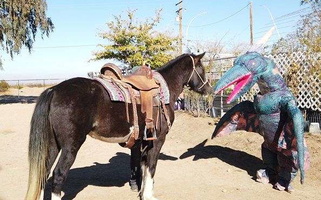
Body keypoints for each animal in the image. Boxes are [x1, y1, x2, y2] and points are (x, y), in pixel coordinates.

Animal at [24, 52, 210, 199]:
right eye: (202, 69)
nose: (208, 89)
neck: (164, 90)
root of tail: (54, 90)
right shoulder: (158, 140)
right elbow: (151, 167)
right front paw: (149, 195)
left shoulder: (145, 141)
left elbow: (143, 166)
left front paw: (142, 192)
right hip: (71, 146)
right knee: (59, 175)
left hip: (53, 144)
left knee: (43, 173)